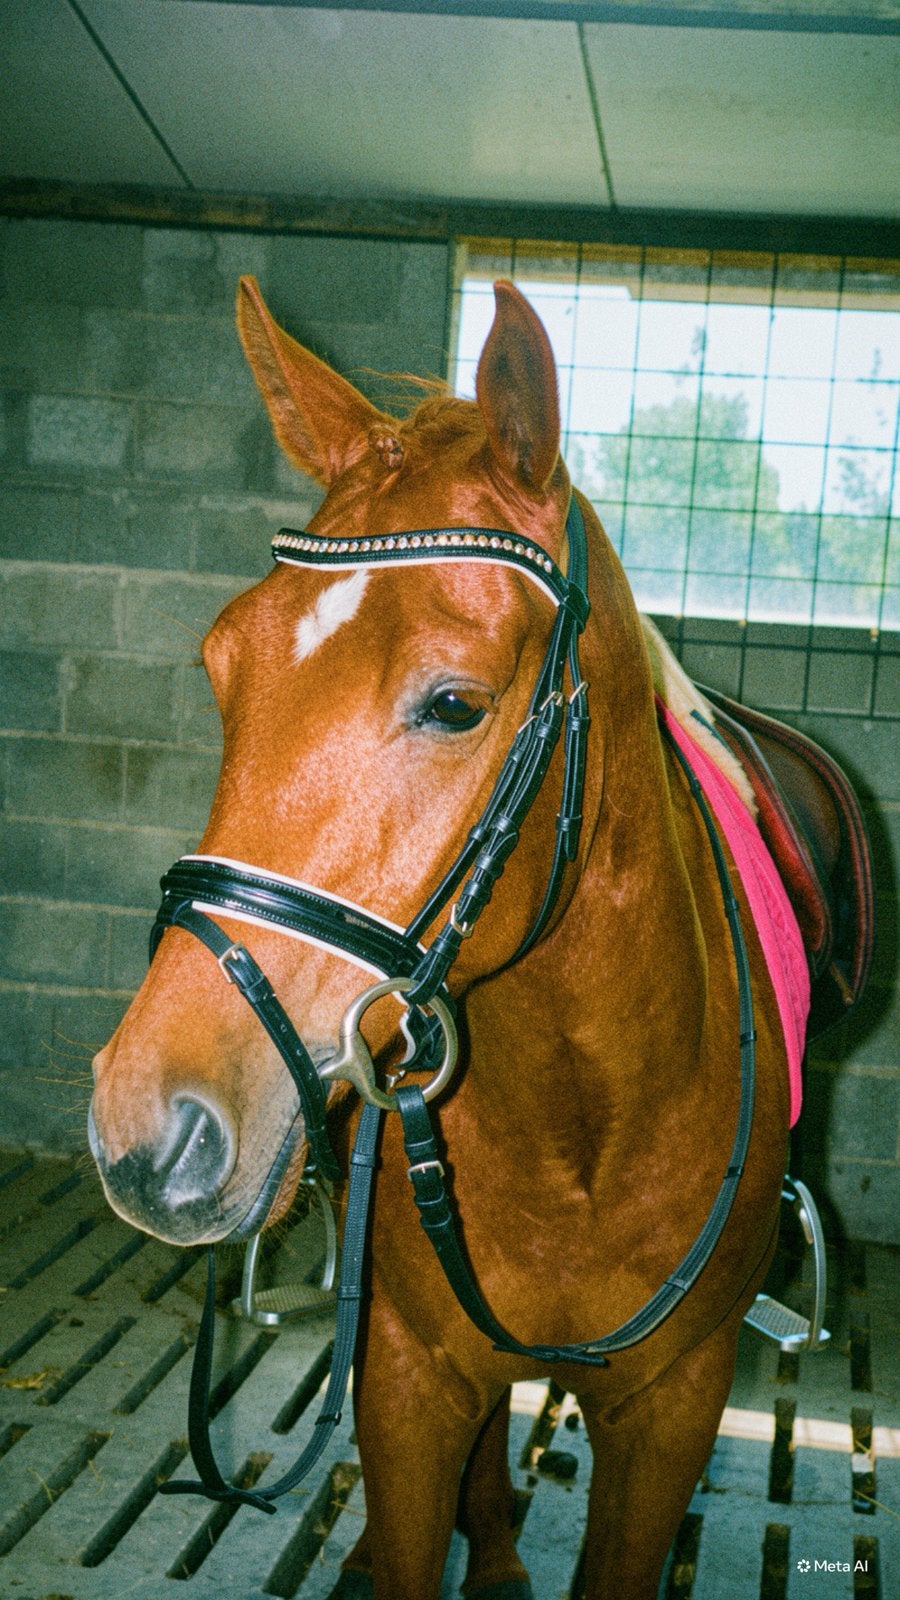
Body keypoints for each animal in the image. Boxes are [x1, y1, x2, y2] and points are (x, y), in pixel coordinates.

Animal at [89, 276, 796, 1600]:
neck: (583, 1126)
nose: (146, 1132)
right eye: (220, 667)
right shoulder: (412, 1380)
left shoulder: (674, 1412)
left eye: (456, 703)